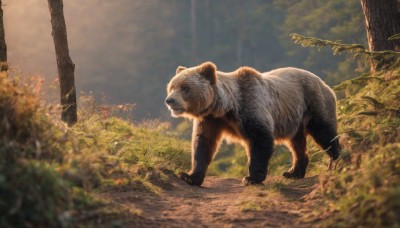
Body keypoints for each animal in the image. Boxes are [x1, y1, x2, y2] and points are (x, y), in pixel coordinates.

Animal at [164, 61, 340, 186]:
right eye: (171, 87)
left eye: (185, 88)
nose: (169, 100)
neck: (225, 108)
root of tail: (323, 82)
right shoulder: (210, 120)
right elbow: (203, 143)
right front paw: (189, 176)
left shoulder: (250, 107)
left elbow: (260, 139)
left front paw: (251, 178)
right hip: (294, 119)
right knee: (296, 143)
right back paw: (293, 172)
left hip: (314, 103)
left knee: (325, 133)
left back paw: (336, 161)